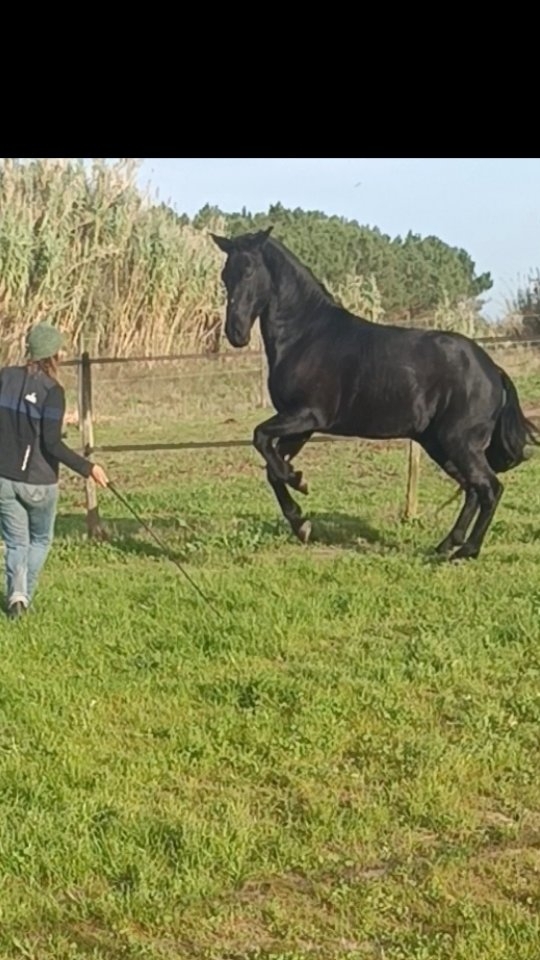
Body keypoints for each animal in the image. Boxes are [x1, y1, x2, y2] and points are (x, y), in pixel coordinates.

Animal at [211, 227, 538, 560]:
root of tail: (492, 370)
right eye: (225, 274)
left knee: (489, 488)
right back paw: (447, 545)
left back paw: (467, 551)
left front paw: (299, 484)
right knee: (472, 488)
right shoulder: (301, 427)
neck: (306, 336)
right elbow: (272, 468)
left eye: (249, 270)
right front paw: (300, 520)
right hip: (440, 445)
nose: (235, 333)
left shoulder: (306, 415)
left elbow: (261, 439)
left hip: (458, 442)